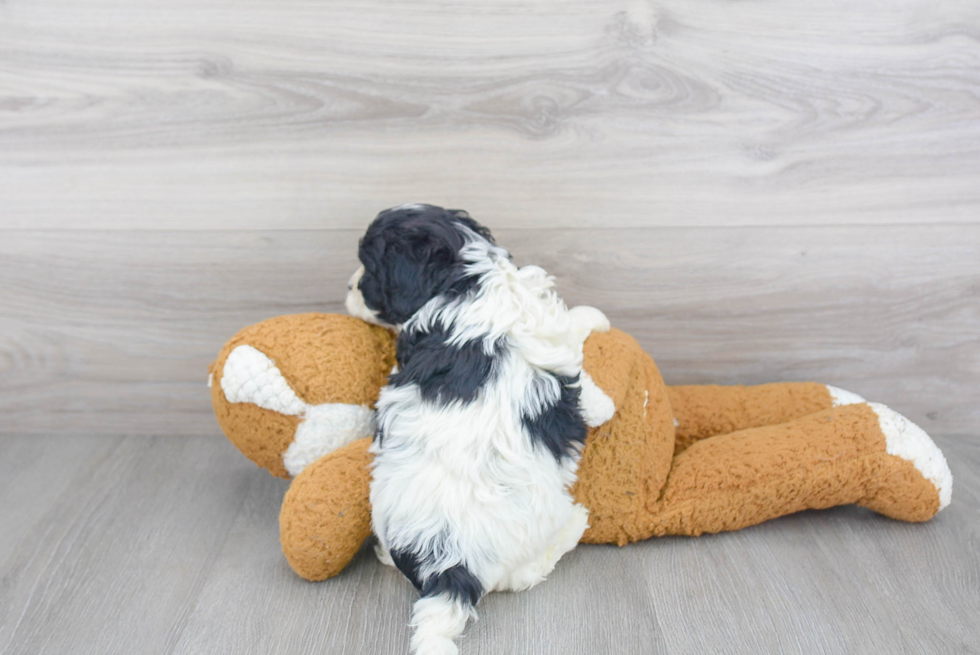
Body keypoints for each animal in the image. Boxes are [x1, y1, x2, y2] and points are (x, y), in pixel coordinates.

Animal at [344, 205, 612, 655]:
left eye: (368, 269)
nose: (348, 288)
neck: (462, 276)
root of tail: (450, 566)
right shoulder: (554, 349)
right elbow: (579, 368)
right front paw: (604, 395)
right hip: (535, 529)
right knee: (529, 573)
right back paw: (576, 524)